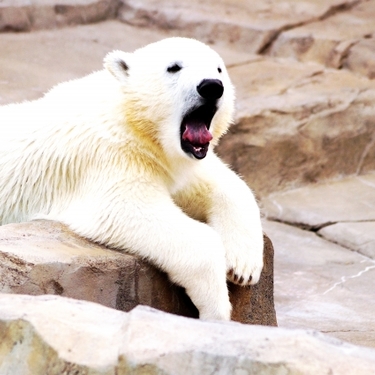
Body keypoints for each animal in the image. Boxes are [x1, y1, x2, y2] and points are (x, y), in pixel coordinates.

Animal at [0, 37, 264, 320]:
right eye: (174, 67)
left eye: (218, 69)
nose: (212, 87)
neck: (133, 121)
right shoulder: (110, 156)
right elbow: (126, 210)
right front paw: (216, 309)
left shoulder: (176, 161)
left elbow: (223, 184)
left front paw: (242, 267)